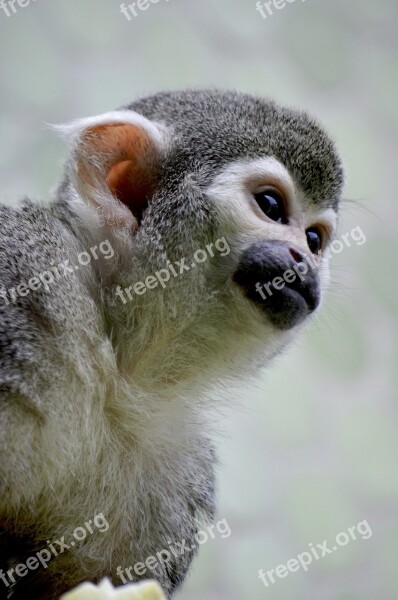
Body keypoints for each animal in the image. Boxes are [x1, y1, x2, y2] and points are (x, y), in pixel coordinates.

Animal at [0, 90, 342, 600]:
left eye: (315, 238)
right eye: (270, 205)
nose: (305, 261)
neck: (117, 364)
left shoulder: (176, 471)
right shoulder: (26, 279)